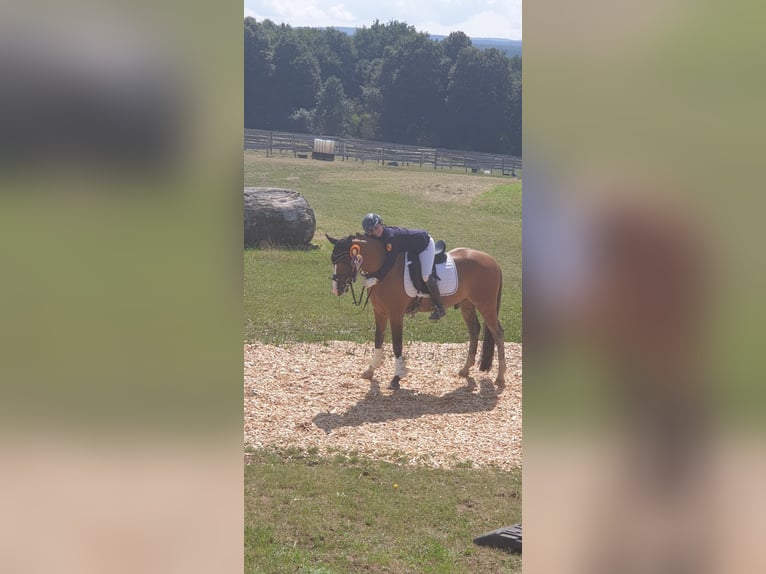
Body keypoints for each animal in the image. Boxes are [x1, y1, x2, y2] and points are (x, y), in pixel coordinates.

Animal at [328, 234, 508, 392]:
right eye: (333, 260)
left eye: (345, 260)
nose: (336, 289)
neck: (385, 267)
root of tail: (493, 261)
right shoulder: (380, 313)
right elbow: (378, 340)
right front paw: (370, 370)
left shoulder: (395, 314)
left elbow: (397, 345)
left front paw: (396, 378)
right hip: (467, 305)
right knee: (474, 331)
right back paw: (465, 370)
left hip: (486, 306)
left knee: (497, 333)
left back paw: (500, 378)